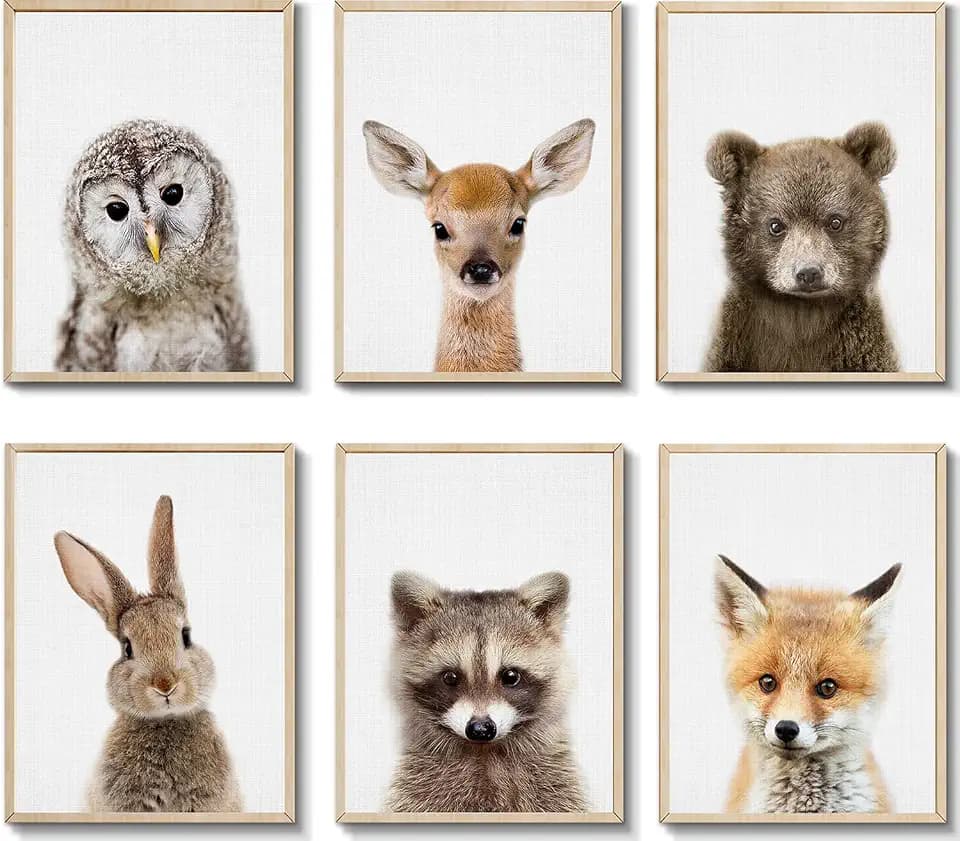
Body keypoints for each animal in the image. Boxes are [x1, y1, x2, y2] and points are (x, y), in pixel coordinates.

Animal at [385, 570, 588, 812]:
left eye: (510, 676)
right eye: (450, 677)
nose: (480, 729)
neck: (485, 753)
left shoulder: (555, 783)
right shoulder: (417, 789)